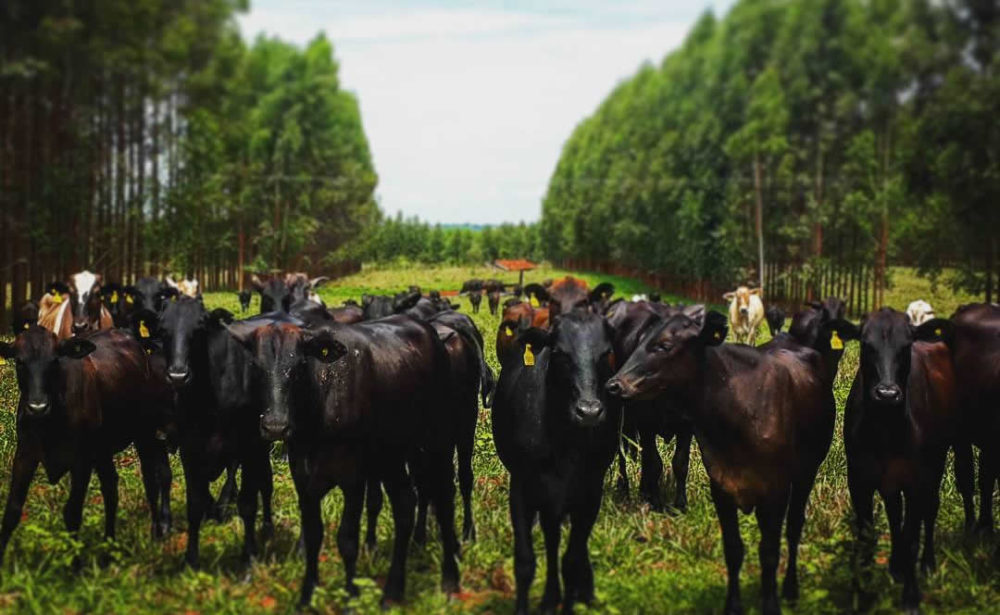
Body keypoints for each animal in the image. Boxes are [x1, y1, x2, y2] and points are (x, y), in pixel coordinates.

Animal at [0, 330, 172, 564]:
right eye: (19, 361)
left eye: (55, 360)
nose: (37, 406)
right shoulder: (25, 454)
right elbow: (12, 511)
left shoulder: (81, 461)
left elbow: (72, 512)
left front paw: (76, 564)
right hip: (103, 451)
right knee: (111, 489)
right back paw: (109, 545)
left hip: (143, 434)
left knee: (150, 482)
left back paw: (156, 532)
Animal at [229, 320, 458, 608]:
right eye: (256, 367)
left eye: (300, 365)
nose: (275, 426)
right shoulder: (304, 480)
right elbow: (313, 535)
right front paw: (307, 595)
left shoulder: (353, 480)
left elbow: (348, 540)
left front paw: (350, 596)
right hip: (392, 458)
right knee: (405, 504)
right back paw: (393, 590)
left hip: (438, 443)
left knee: (444, 499)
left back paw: (449, 579)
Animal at [490, 312, 620, 615]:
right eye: (560, 352)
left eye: (605, 353)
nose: (589, 411)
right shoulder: (521, 488)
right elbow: (524, 563)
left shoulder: (589, 493)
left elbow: (571, 561)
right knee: (551, 539)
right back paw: (550, 598)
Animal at [608, 312, 836, 615]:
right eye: (641, 340)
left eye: (664, 346)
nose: (614, 384)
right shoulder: (721, 488)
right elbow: (733, 549)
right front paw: (733, 605)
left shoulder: (775, 493)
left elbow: (769, 552)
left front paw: (770, 603)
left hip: (806, 473)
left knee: (794, 527)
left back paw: (790, 589)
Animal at [848, 310, 956, 612]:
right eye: (866, 345)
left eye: (906, 346)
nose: (887, 393)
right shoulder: (858, 480)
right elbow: (867, 537)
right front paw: (864, 597)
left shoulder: (918, 480)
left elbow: (911, 535)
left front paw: (910, 598)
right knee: (895, 512)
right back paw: (896, 566)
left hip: (938, 462)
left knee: (929, 510)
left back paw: (927, 564)